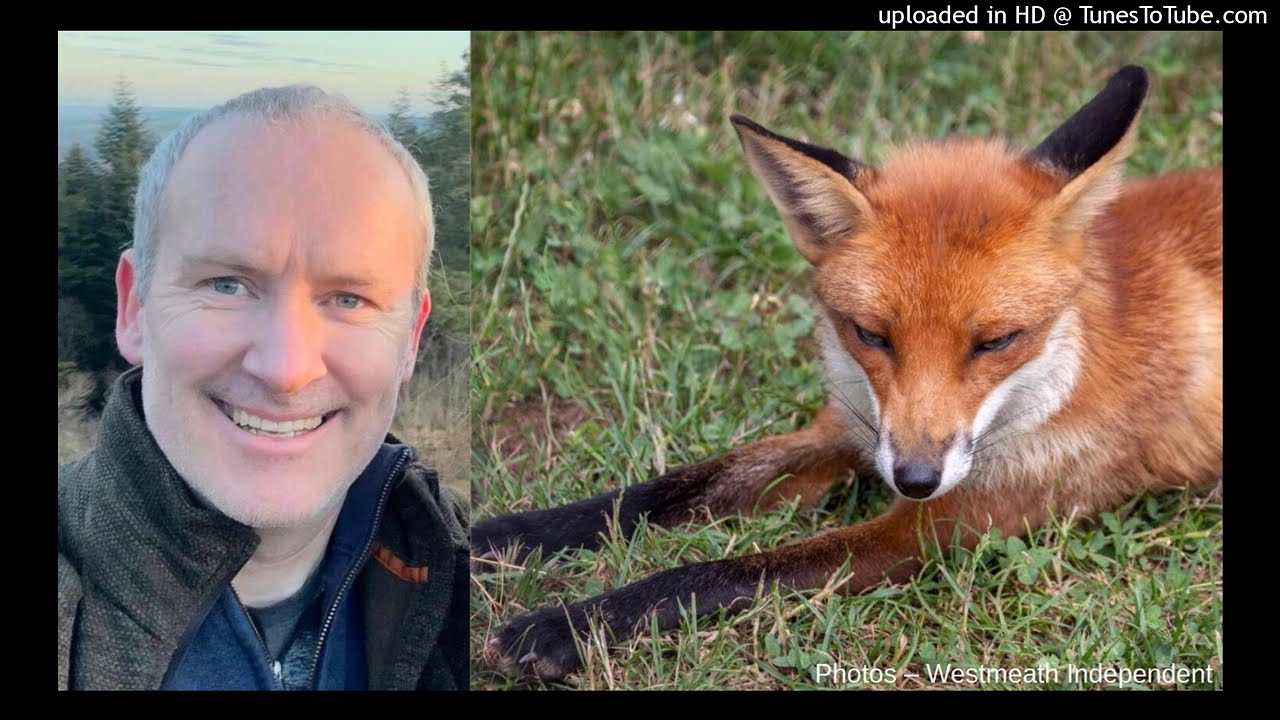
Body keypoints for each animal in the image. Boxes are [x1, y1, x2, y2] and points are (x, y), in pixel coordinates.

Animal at [473, 65, 1223, 681]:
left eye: (996, 342)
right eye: (871, 336)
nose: (913, 479)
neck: (1063, 372)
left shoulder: (953, 521)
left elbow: (725, 571)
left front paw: (569, 625)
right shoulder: (854, 426)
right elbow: (660, 493)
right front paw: (494, 538)